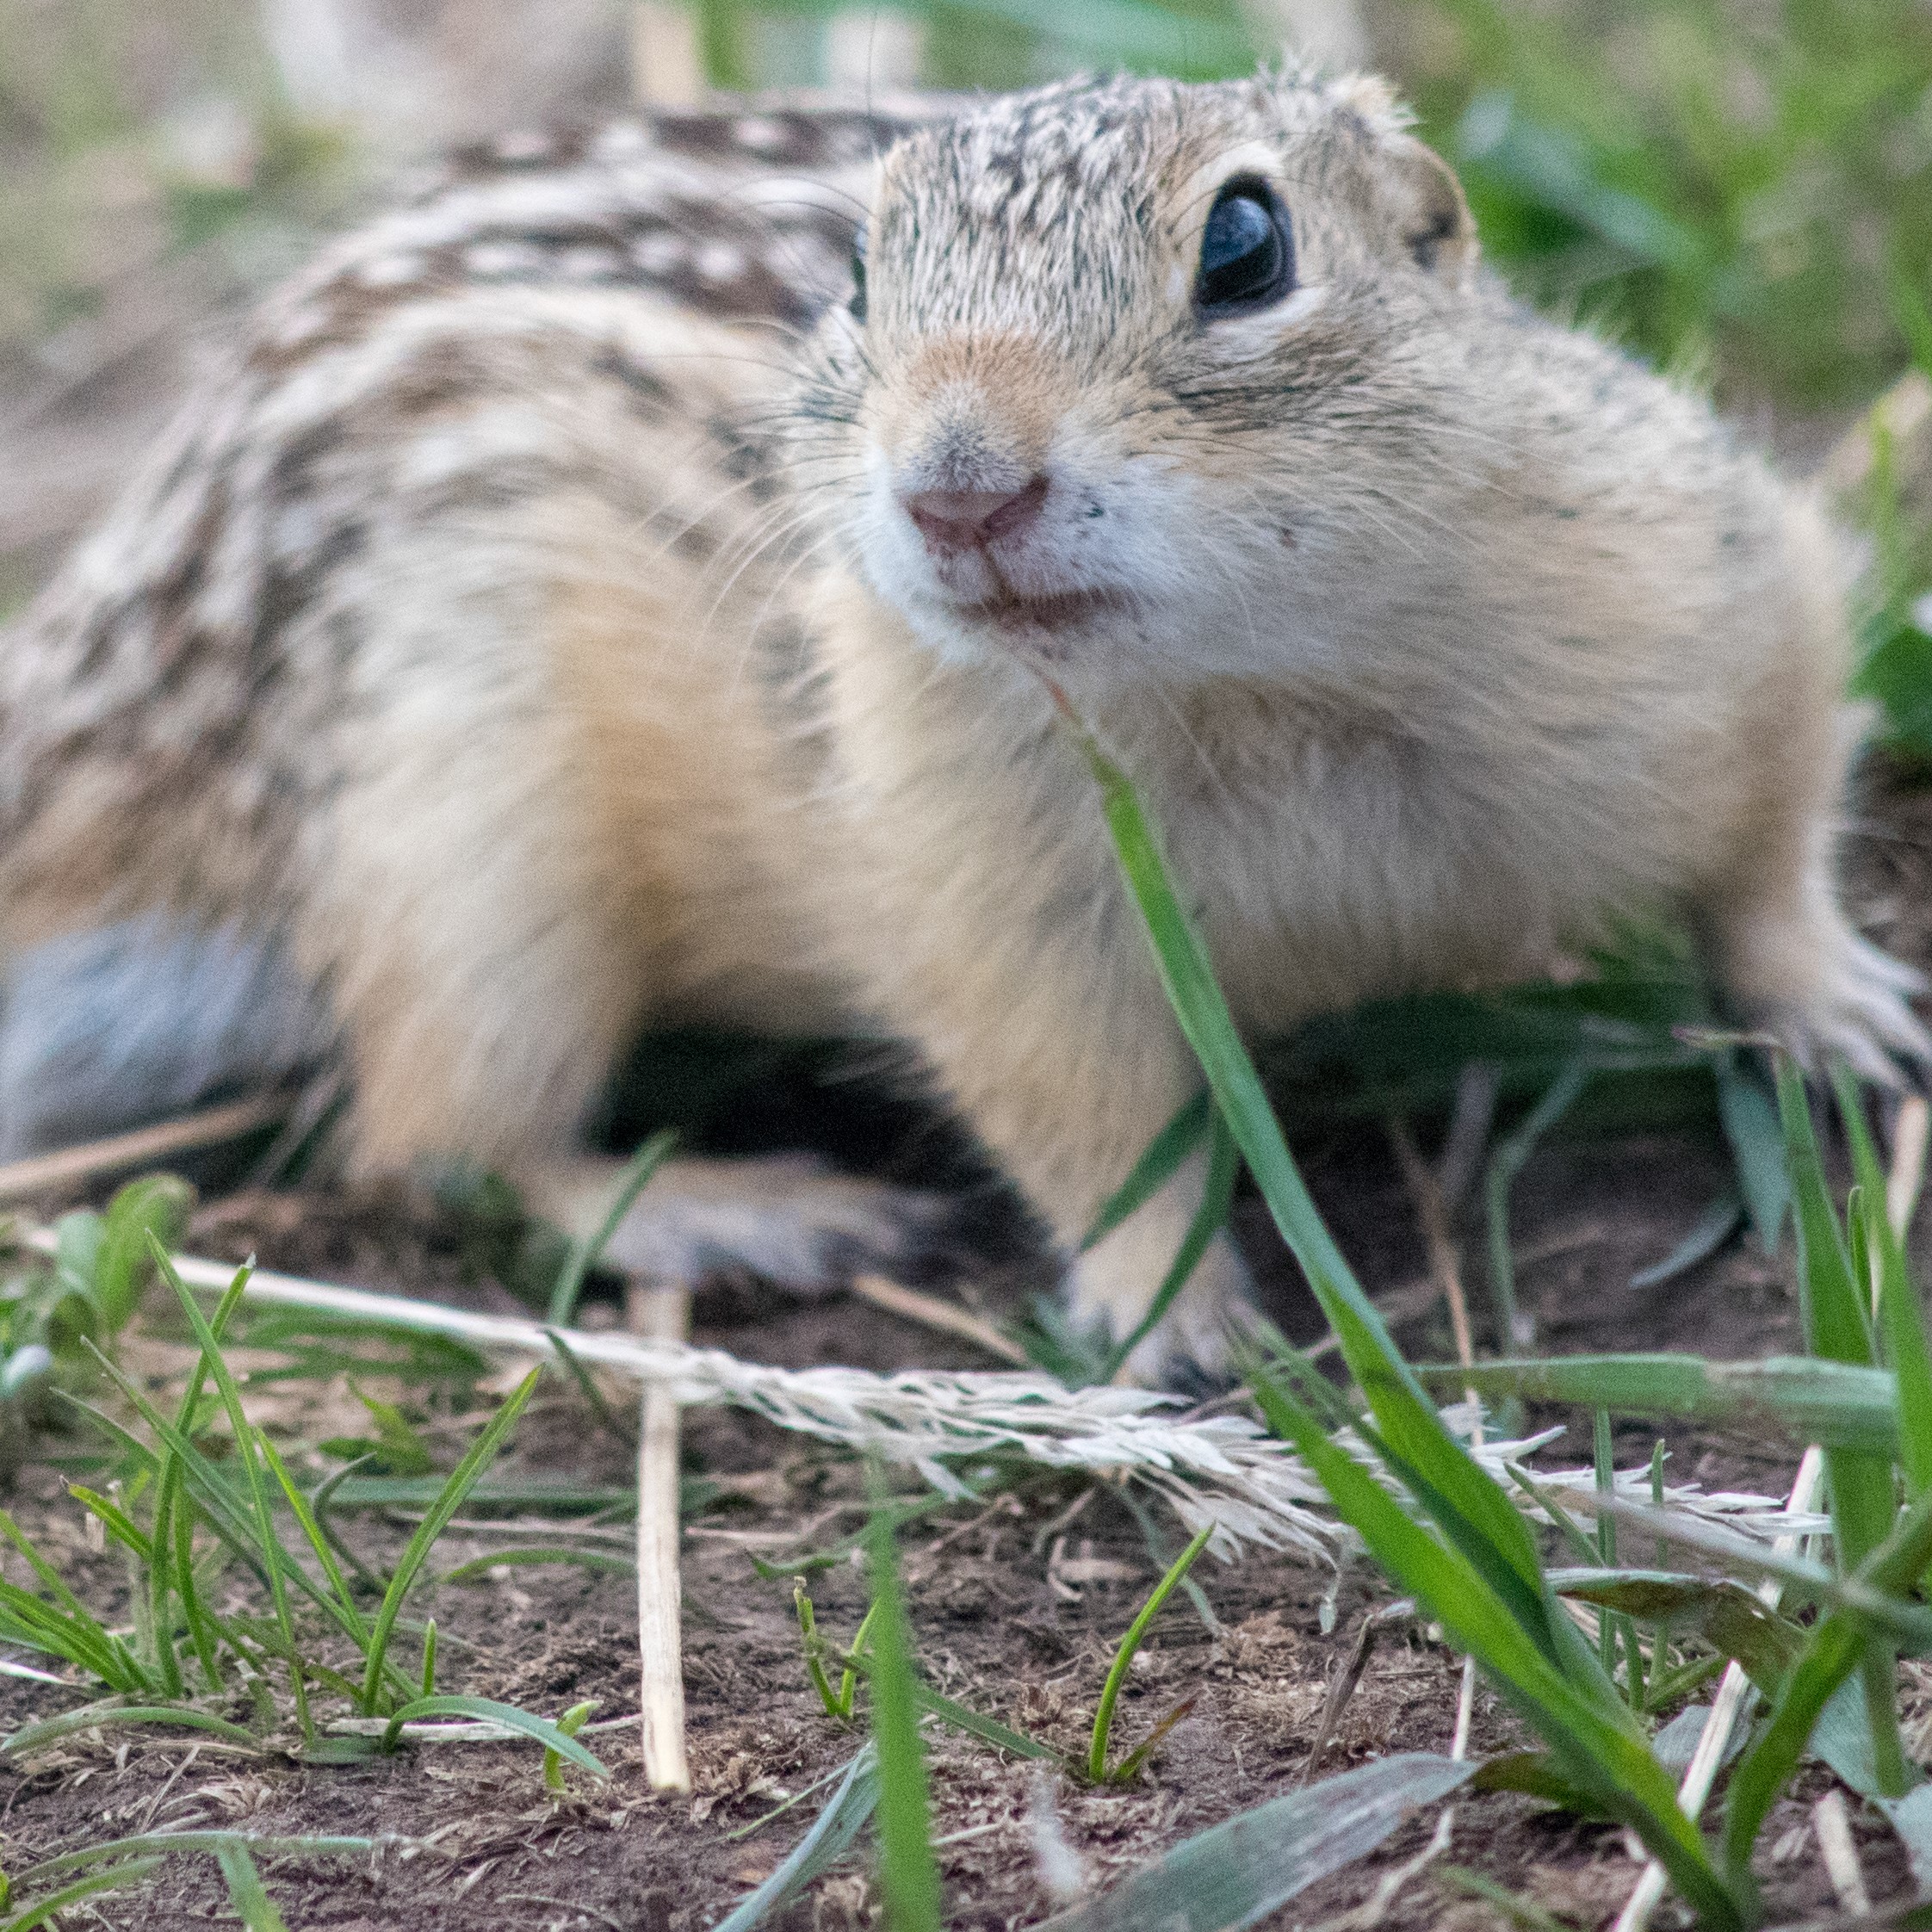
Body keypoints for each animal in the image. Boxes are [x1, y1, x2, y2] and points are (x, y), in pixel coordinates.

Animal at [0, 69, 1922, 1378]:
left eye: (1247, 245)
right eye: (854, 272)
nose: (957, 490)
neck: (1254, 682)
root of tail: (110, 684)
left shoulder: (1729, 601)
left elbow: (1770, 830)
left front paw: (1844, 1006)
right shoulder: (992, 913)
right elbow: (1089, 1125)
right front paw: (1173, 1319)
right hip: (469, 867)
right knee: (435, 1144)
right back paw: (744, 1205)